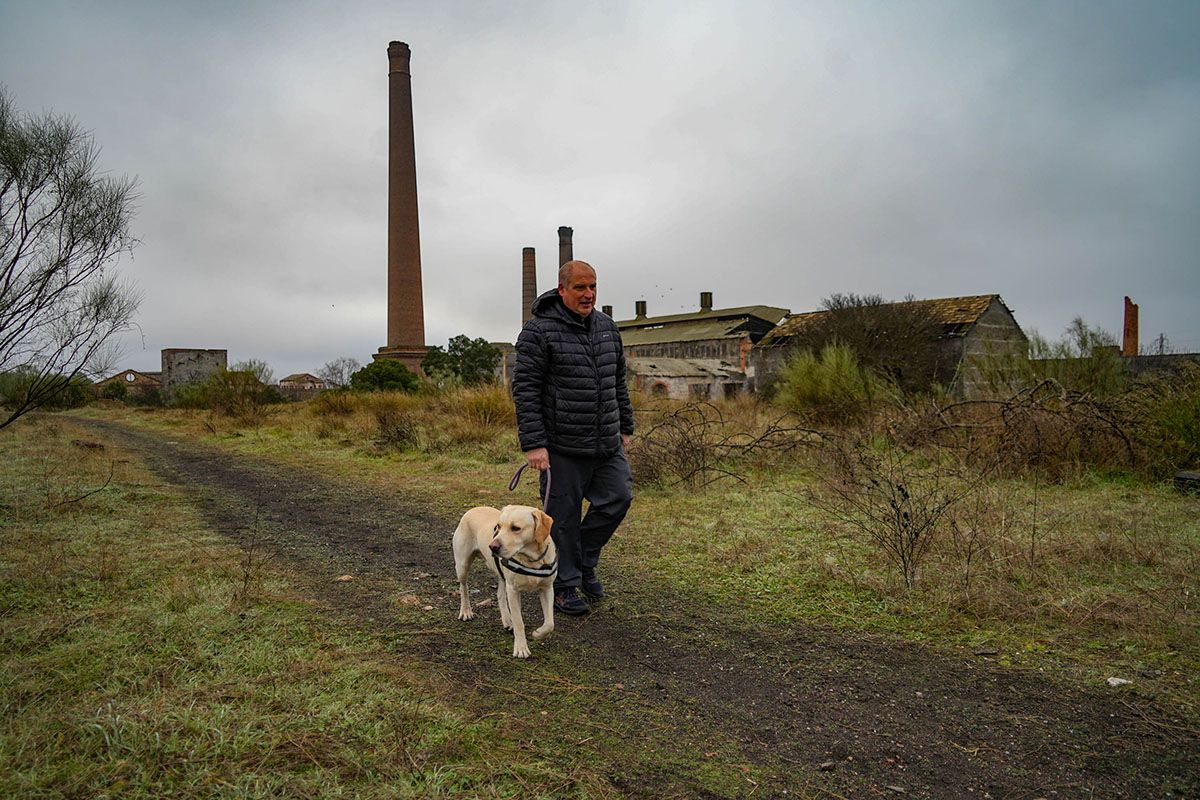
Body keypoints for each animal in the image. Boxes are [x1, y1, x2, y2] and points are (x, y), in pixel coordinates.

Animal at [453, 506, 556, 657]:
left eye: (516, 528)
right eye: (498, 526)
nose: (492, 547)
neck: (531, 560)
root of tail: (473, 508)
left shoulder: (547, 588)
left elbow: (550, 623)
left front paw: (538, 634)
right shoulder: (513, 590)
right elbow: (519, 621)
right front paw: (521, 648)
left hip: (502, 575)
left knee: (500, 595)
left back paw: (507, 619)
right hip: (462, 565)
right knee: (464, 588)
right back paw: (466, 611)